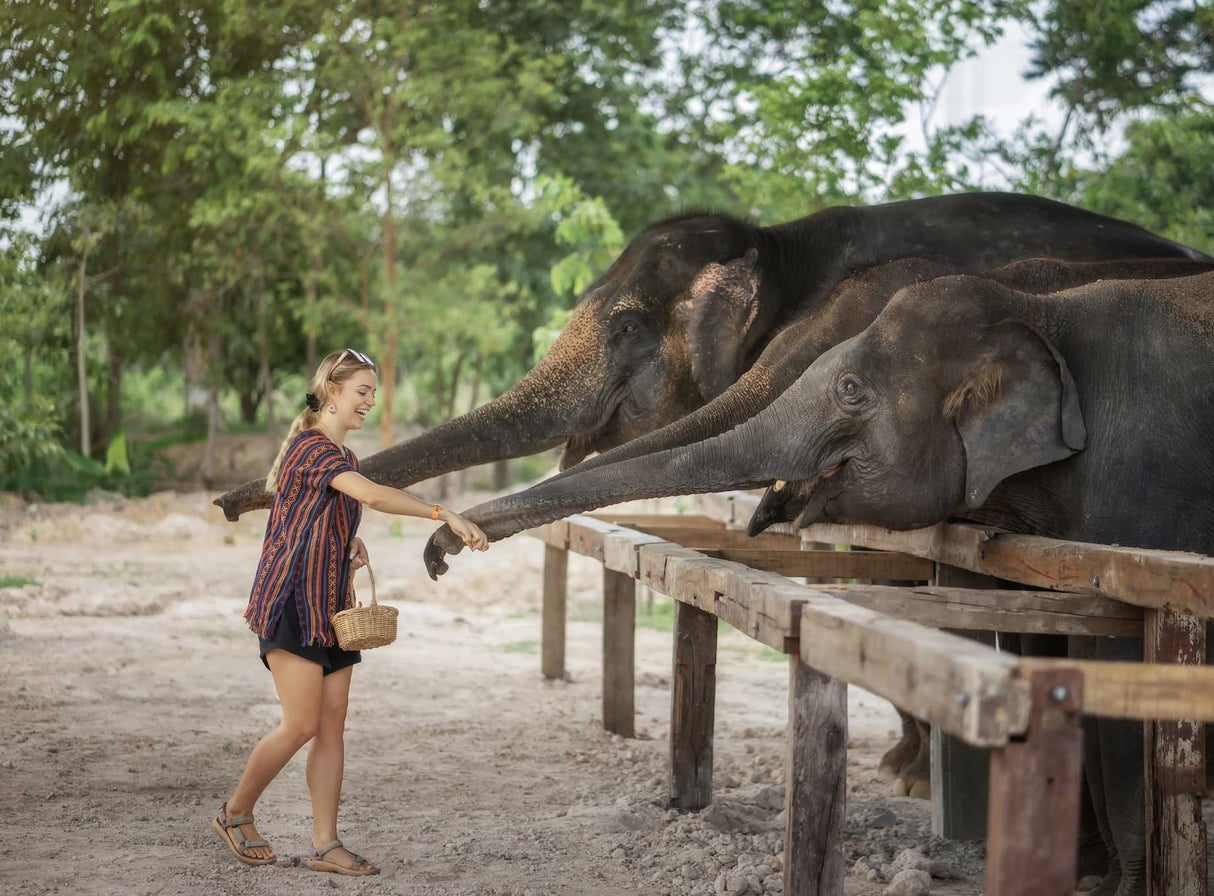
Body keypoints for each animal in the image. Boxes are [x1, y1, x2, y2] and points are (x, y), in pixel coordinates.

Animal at [427, 269, 1214, 896]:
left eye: (849, 388)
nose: (441, 549)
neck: (1044, 312)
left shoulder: (1140, 492)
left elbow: (1119, 667)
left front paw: (1117, 891)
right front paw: (1088, 877)